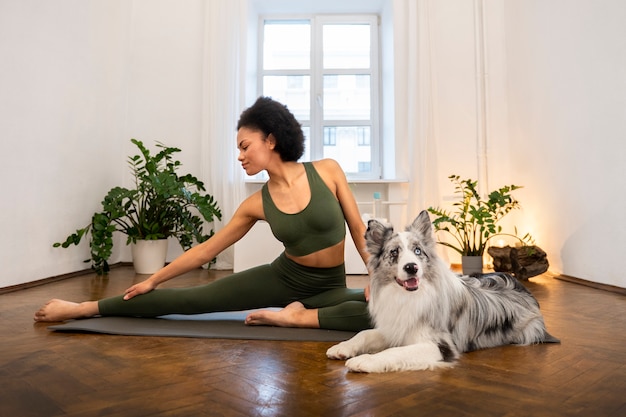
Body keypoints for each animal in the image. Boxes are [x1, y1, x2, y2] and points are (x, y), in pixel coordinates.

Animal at [324, 210, 560, 372]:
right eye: (394, 252)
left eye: (418, 251)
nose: (412, 267)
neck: (409, 296)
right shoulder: (396, 326)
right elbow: (365, 333)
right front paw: (343, 347)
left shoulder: (440, 345)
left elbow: (395, 351)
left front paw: (365, 360)